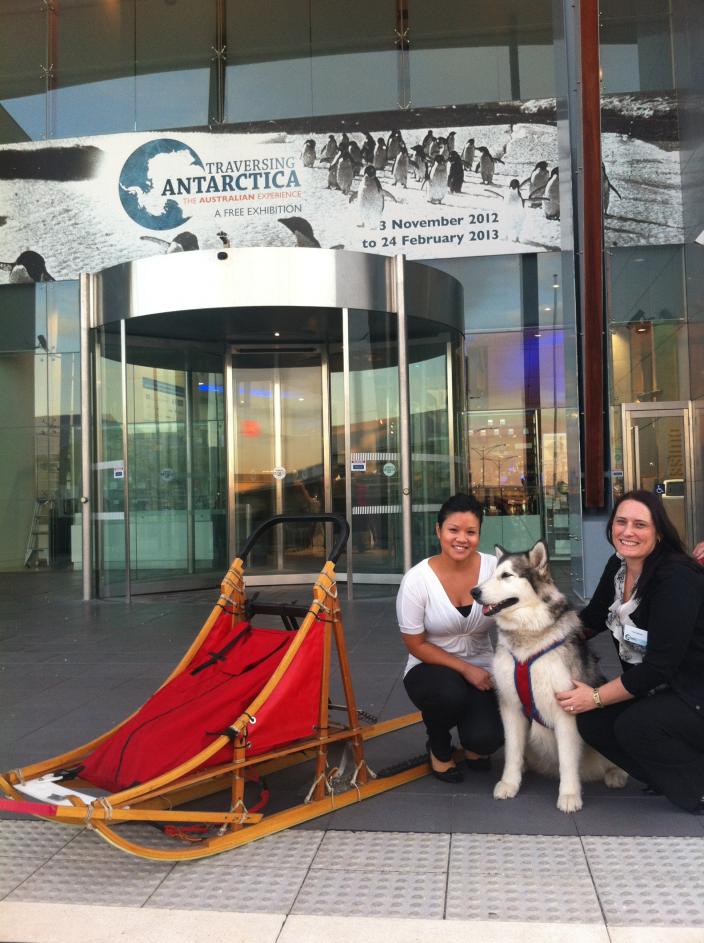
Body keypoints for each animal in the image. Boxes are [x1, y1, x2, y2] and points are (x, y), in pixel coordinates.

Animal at [472, 544, 628, 816]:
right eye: (492, 575)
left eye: (506, 576)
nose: (474, 592)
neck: (528, 636)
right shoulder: (510, 706)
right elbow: (512, 750)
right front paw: (509, 783)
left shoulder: (567, 706)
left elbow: (567, 759)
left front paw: (569, 795)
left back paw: (615, 773)